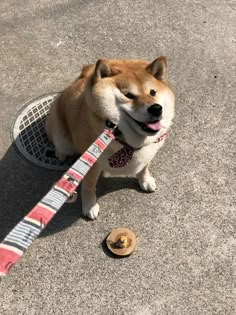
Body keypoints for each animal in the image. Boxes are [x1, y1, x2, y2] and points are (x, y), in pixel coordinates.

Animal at [46, 56, 175, 220]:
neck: (125, 141)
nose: (157, 108)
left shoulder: (150, 151)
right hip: (61, 133)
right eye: (128, 95)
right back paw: (60, 153)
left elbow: (145, 167)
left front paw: (145, 180)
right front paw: (89, 206)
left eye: (153, 92)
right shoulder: (92, 164)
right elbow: (89, 186)